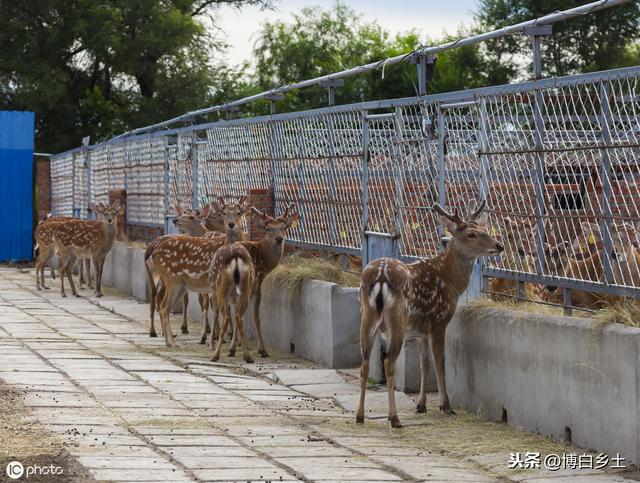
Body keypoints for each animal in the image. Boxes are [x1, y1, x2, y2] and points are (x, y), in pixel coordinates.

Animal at [147, 198, 250, 348]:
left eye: (239, 212)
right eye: (223, 213)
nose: (231, 224)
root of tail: (153, 252)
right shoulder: (214, 284)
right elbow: (214, 309)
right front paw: (211, 340)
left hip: (179, 285)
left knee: (161, 304)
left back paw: (167, 339)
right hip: (172, 280)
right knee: (164, 306)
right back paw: (171, 342)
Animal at [209, 203, 302, 364]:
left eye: (284, 227)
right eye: (268, 228)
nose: (279, 239)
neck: (265, 260)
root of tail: (235, 257)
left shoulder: (235, 295)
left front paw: (232, 349)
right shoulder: (257, 288)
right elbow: (256, 318)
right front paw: (261, 350)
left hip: (220, 289)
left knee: (226, 315)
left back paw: (216, 349)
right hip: (239, 288)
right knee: (234, 317)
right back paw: (237, 355)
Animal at [356, 200, 500, 428]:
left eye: (485, 230)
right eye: (471, 234)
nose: (499, 246)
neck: (450, 282)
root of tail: (380, 277)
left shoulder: (419, 329)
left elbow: (424, 364)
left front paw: (421, 405)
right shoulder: (439, 321)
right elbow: (439, 363)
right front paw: (445, 405)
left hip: (367, 318)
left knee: (364, 363)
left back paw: (360, 416)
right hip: (397, 322)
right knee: (388, 363)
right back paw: (394, 418)